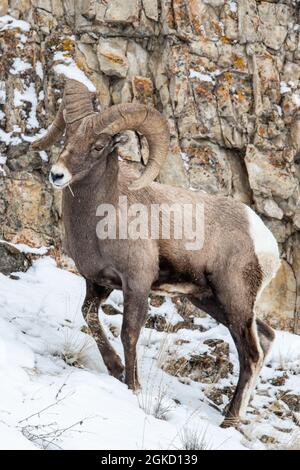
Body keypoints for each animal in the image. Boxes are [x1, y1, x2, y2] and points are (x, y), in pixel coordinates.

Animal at [31, 79, 280, 428]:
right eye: (67, 136)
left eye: (98, 147)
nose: (57, 175)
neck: (103, 217)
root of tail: (266, 243)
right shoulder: (98, 283)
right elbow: (89, 316)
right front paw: (115, 368)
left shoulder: (137, 284)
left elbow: (129, 333)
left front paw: (132, 385)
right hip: (210, 301)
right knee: (266, 338)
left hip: (235, 301)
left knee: (252, 354)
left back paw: (229, 421)